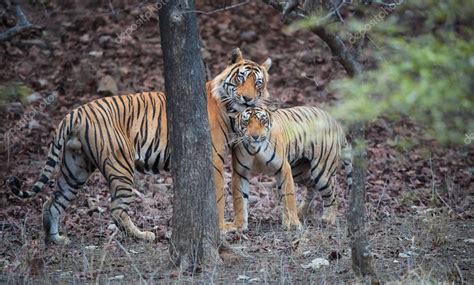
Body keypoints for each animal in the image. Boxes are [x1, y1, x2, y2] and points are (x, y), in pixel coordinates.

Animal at [5, 47, 272, 243]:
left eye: (258, 83)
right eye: (240, 78)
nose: (248, 99)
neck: (231, 111)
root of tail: (76, 113)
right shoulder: (214, 158)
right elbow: (217, 195)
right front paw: (224, 227)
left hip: (76, 167)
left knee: (52, 201)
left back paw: (56, 239)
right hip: (119, 165)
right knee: (116, 209)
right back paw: (144, 236)